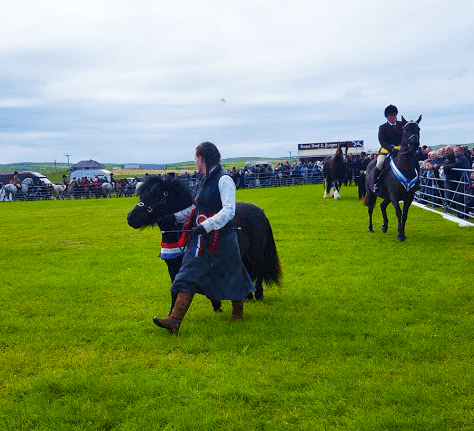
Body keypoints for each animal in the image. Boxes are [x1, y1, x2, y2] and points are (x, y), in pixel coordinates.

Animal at [126, 177, 282, 312]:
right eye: (142, 194)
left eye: (153, 195)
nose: (130, 218)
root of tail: (260, 212)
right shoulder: (172, 267)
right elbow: (174, 290)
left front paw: (217, 306)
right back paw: (247, 296)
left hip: (256, 252)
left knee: (259, 270)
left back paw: (258, 295)